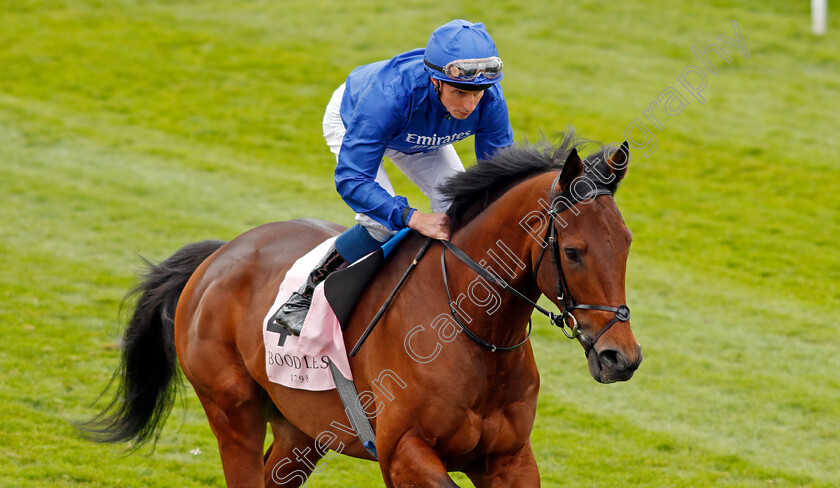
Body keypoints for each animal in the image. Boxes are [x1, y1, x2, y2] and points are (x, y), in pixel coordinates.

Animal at [82, 132, 640, 486]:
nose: (622, 357)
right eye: (574, 252)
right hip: (232, 410)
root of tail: (218, 257)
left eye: (628, 243)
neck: (473, 330)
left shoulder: (508, 459)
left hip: (302, 430)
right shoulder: (402, 452)